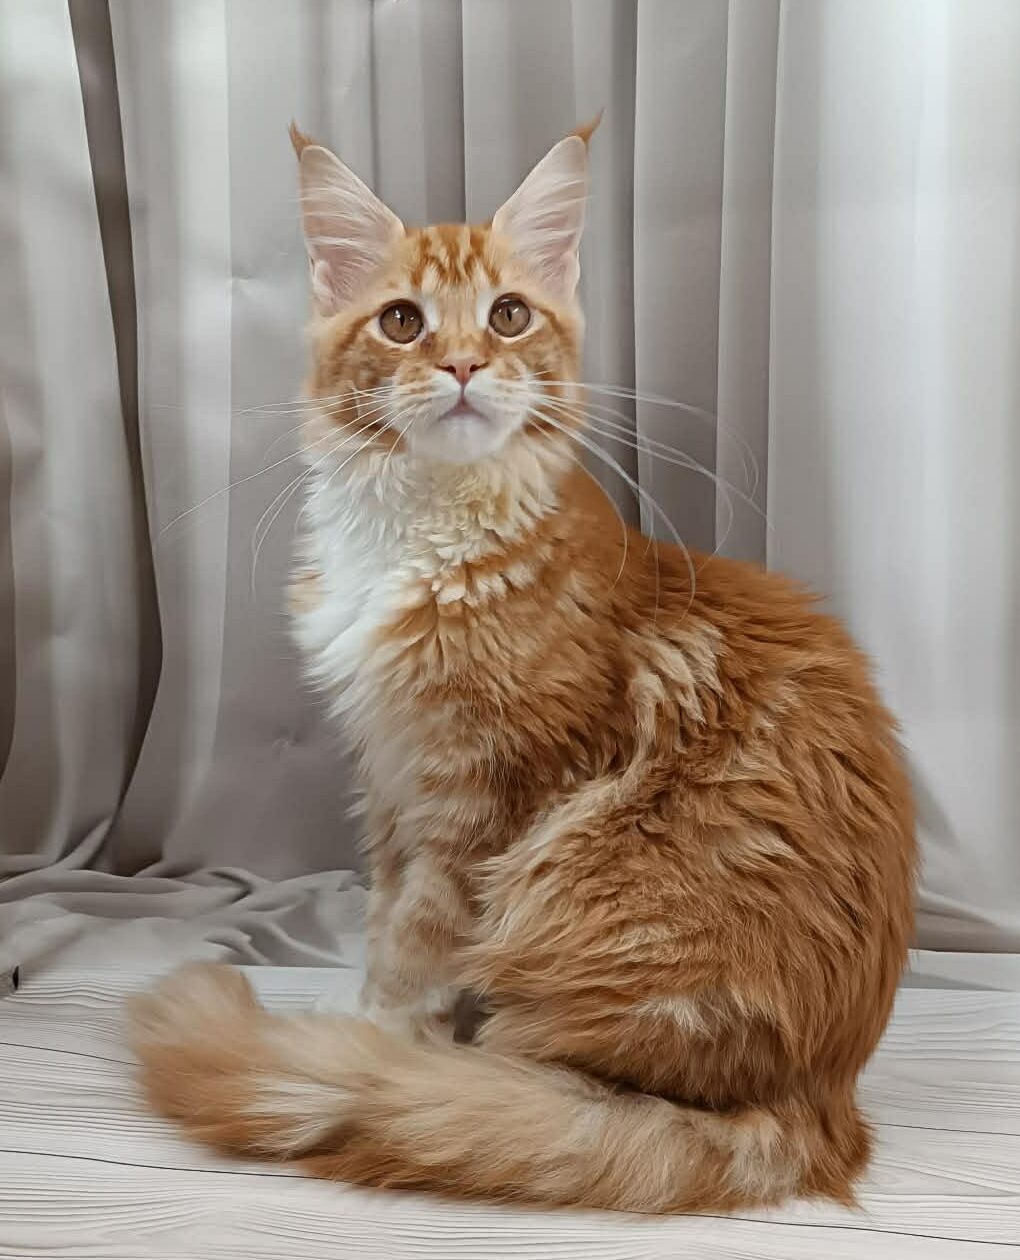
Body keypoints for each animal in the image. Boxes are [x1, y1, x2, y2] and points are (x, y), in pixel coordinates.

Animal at [128, 120, 916, 1213]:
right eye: (403, 323)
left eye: (507, 316)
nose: (463, 364)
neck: (424, 527)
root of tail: (826, 1105)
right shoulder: (393, 776)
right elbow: (384, 917)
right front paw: (371, 1023)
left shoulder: (486, 791)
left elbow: (415, 946)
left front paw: (381, 1046)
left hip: (581, 890)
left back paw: (463, 1085)